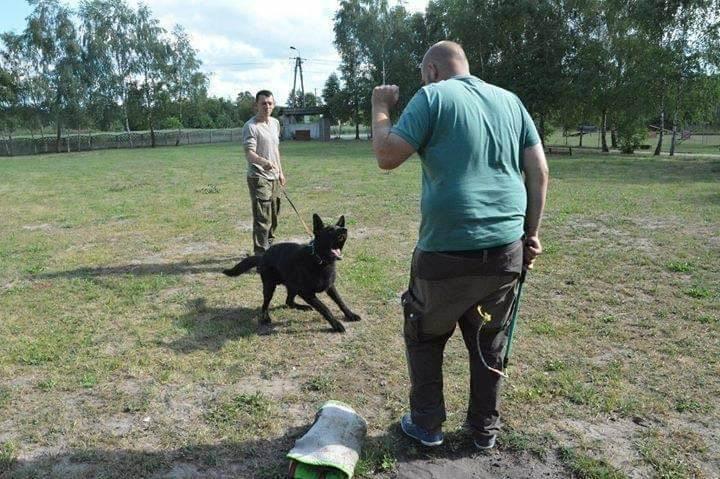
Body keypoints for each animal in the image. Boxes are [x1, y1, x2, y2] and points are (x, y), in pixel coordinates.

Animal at [222, 215, 360, 334]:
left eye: (339, 227)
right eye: (330, 230)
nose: (345, 230)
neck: (319, 260)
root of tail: (263, 255)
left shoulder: (330, 287)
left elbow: (340, 302)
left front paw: (350, 314)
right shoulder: (307, 293)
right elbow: (324, 308)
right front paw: (336, 324)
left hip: (292, 286)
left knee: (288, 301)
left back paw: (303, 307)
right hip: (270, 287)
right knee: (265, 304)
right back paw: (265, 317)